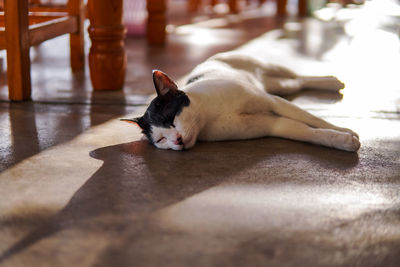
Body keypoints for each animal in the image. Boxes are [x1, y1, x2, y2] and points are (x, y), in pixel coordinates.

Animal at [121, 51, 360, 153]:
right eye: (161, 140)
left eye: (171, 119)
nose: (177, 140)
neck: (209, 115)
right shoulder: (271, 124)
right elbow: (308, 132)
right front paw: (342, 140)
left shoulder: (273, 102)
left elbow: (315, 119)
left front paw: (345, 130)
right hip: (279, 86)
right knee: (297, 83)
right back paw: (332, 83)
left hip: (273, 77)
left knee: (299, 78)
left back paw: (332, 82)